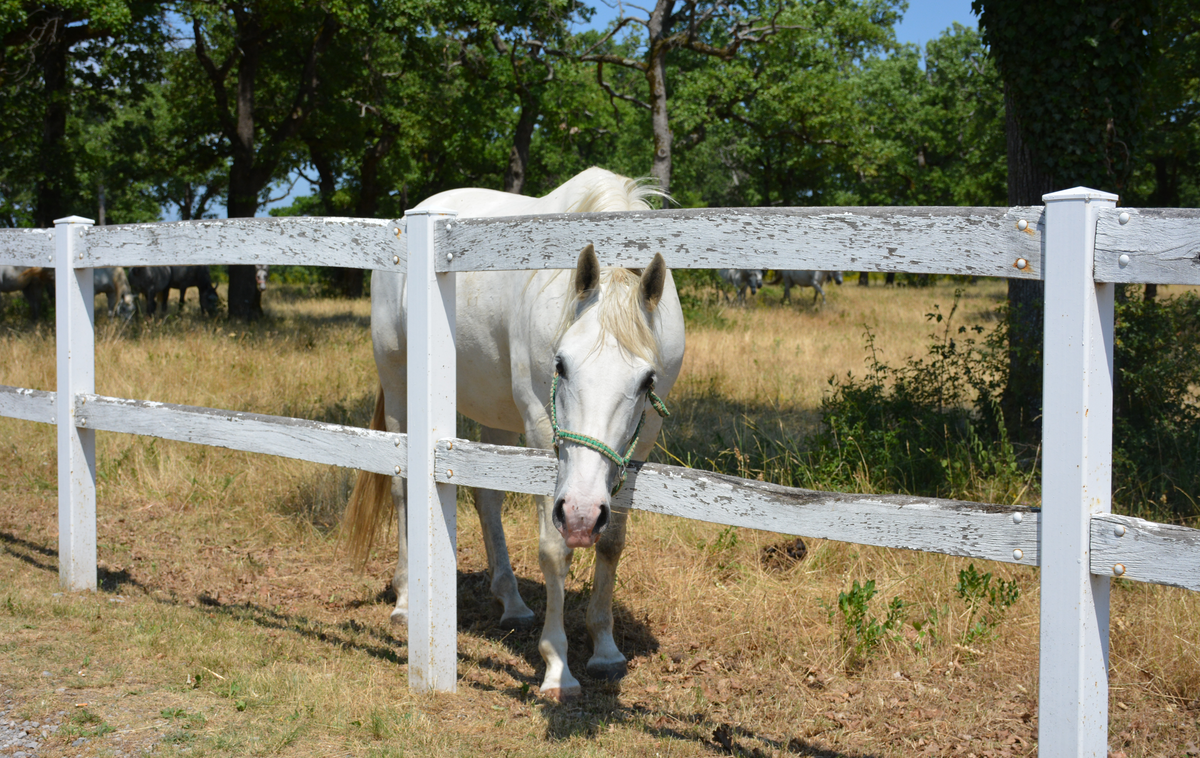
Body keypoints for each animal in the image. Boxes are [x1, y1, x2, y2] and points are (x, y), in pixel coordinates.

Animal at [343, 166, 691, 700]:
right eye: (560, 365)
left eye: (646, 381)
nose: (582, 515)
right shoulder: (541, 434)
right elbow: (553, 550)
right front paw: (557, 666)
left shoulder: (641, 440)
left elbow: (611, 544)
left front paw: (605, 649)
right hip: (400, 384)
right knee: (402, 488)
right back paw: (404, 600)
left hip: (494, 414)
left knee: (487, 499)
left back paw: (511, 602)